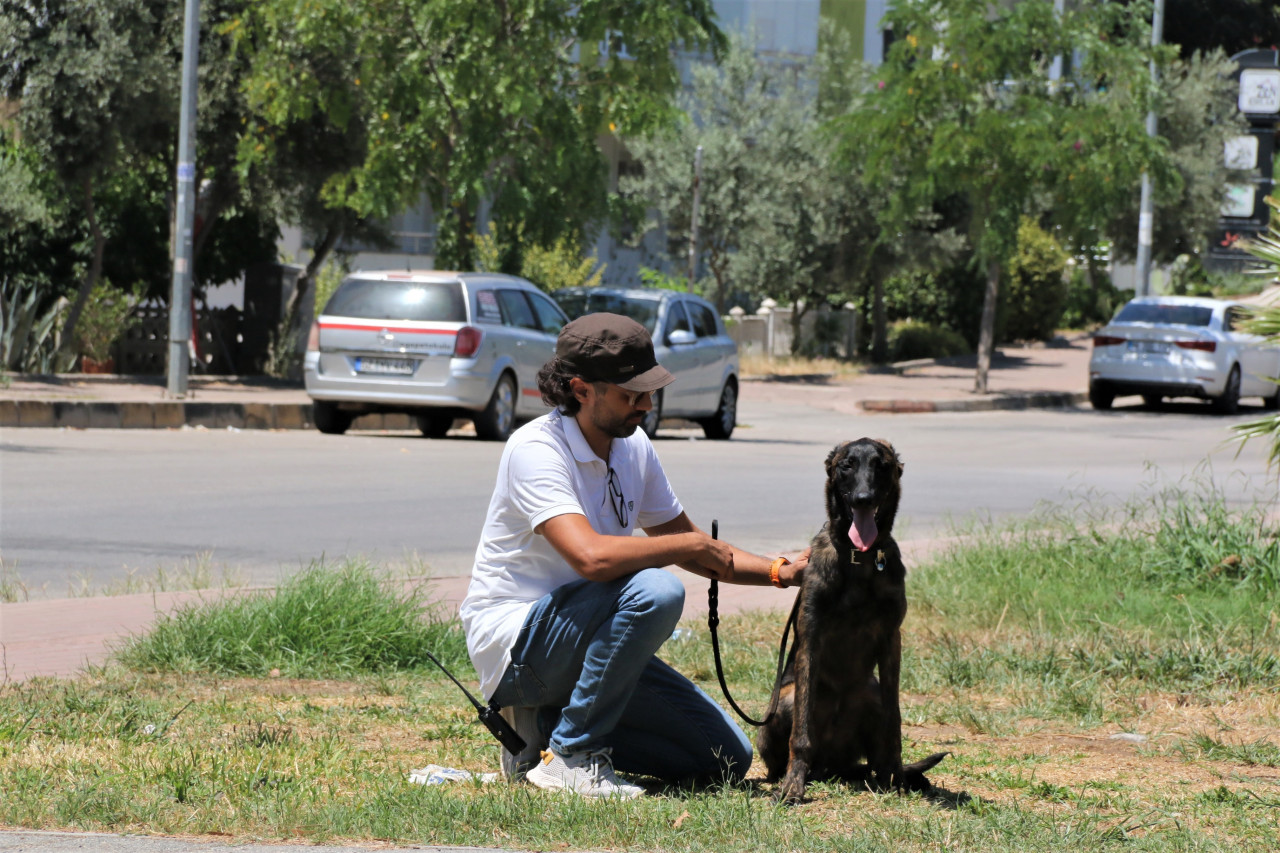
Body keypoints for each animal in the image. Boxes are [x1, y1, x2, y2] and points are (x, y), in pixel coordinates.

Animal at [752, 435, 947, 799]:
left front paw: (897, 777)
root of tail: (831, 765)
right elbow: (801, 730)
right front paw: (793, 783)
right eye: (847, 465)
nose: (863, 499)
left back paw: (894, 775)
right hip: (783, 701)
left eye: (881, 466)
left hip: (871, 693)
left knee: (874, 758)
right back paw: (793, 774)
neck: (861, 557)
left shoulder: (891, 640)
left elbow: (895, 722)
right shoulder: (810, 636)